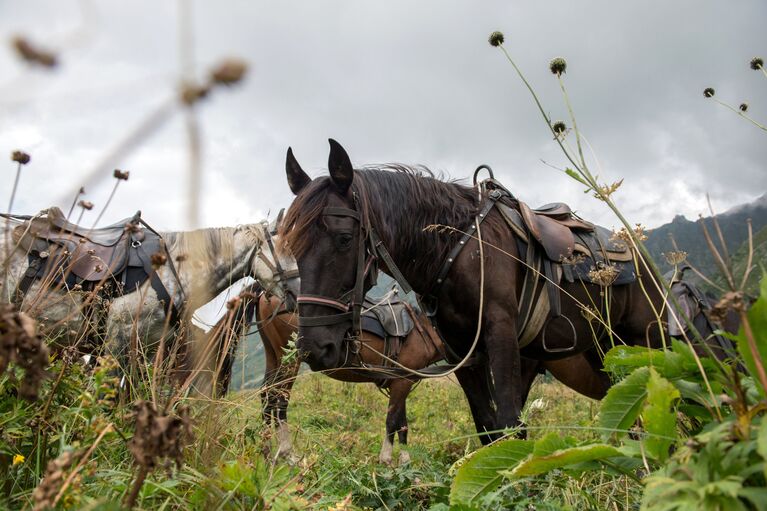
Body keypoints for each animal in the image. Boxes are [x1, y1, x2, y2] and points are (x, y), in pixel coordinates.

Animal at [258, 290, 448, 466]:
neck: (421, 331)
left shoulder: (401, 382)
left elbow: (402, 425)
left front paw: (405, 464)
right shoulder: (402, 383)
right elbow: (392, 421)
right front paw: (386, 461)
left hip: (274, 355)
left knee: (266, 395)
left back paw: (267, 451)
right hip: (290, 359)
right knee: (279, 399)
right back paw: (286, 452)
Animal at [278, 139, 732, 444]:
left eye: (343, 239)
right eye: (293, 247)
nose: (315, 348)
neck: (458, 248)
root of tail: (641, 258)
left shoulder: (499, 336)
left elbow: (510, 423)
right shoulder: (462, 352)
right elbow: (489, 429)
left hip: (647, 338)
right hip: (601, 347)